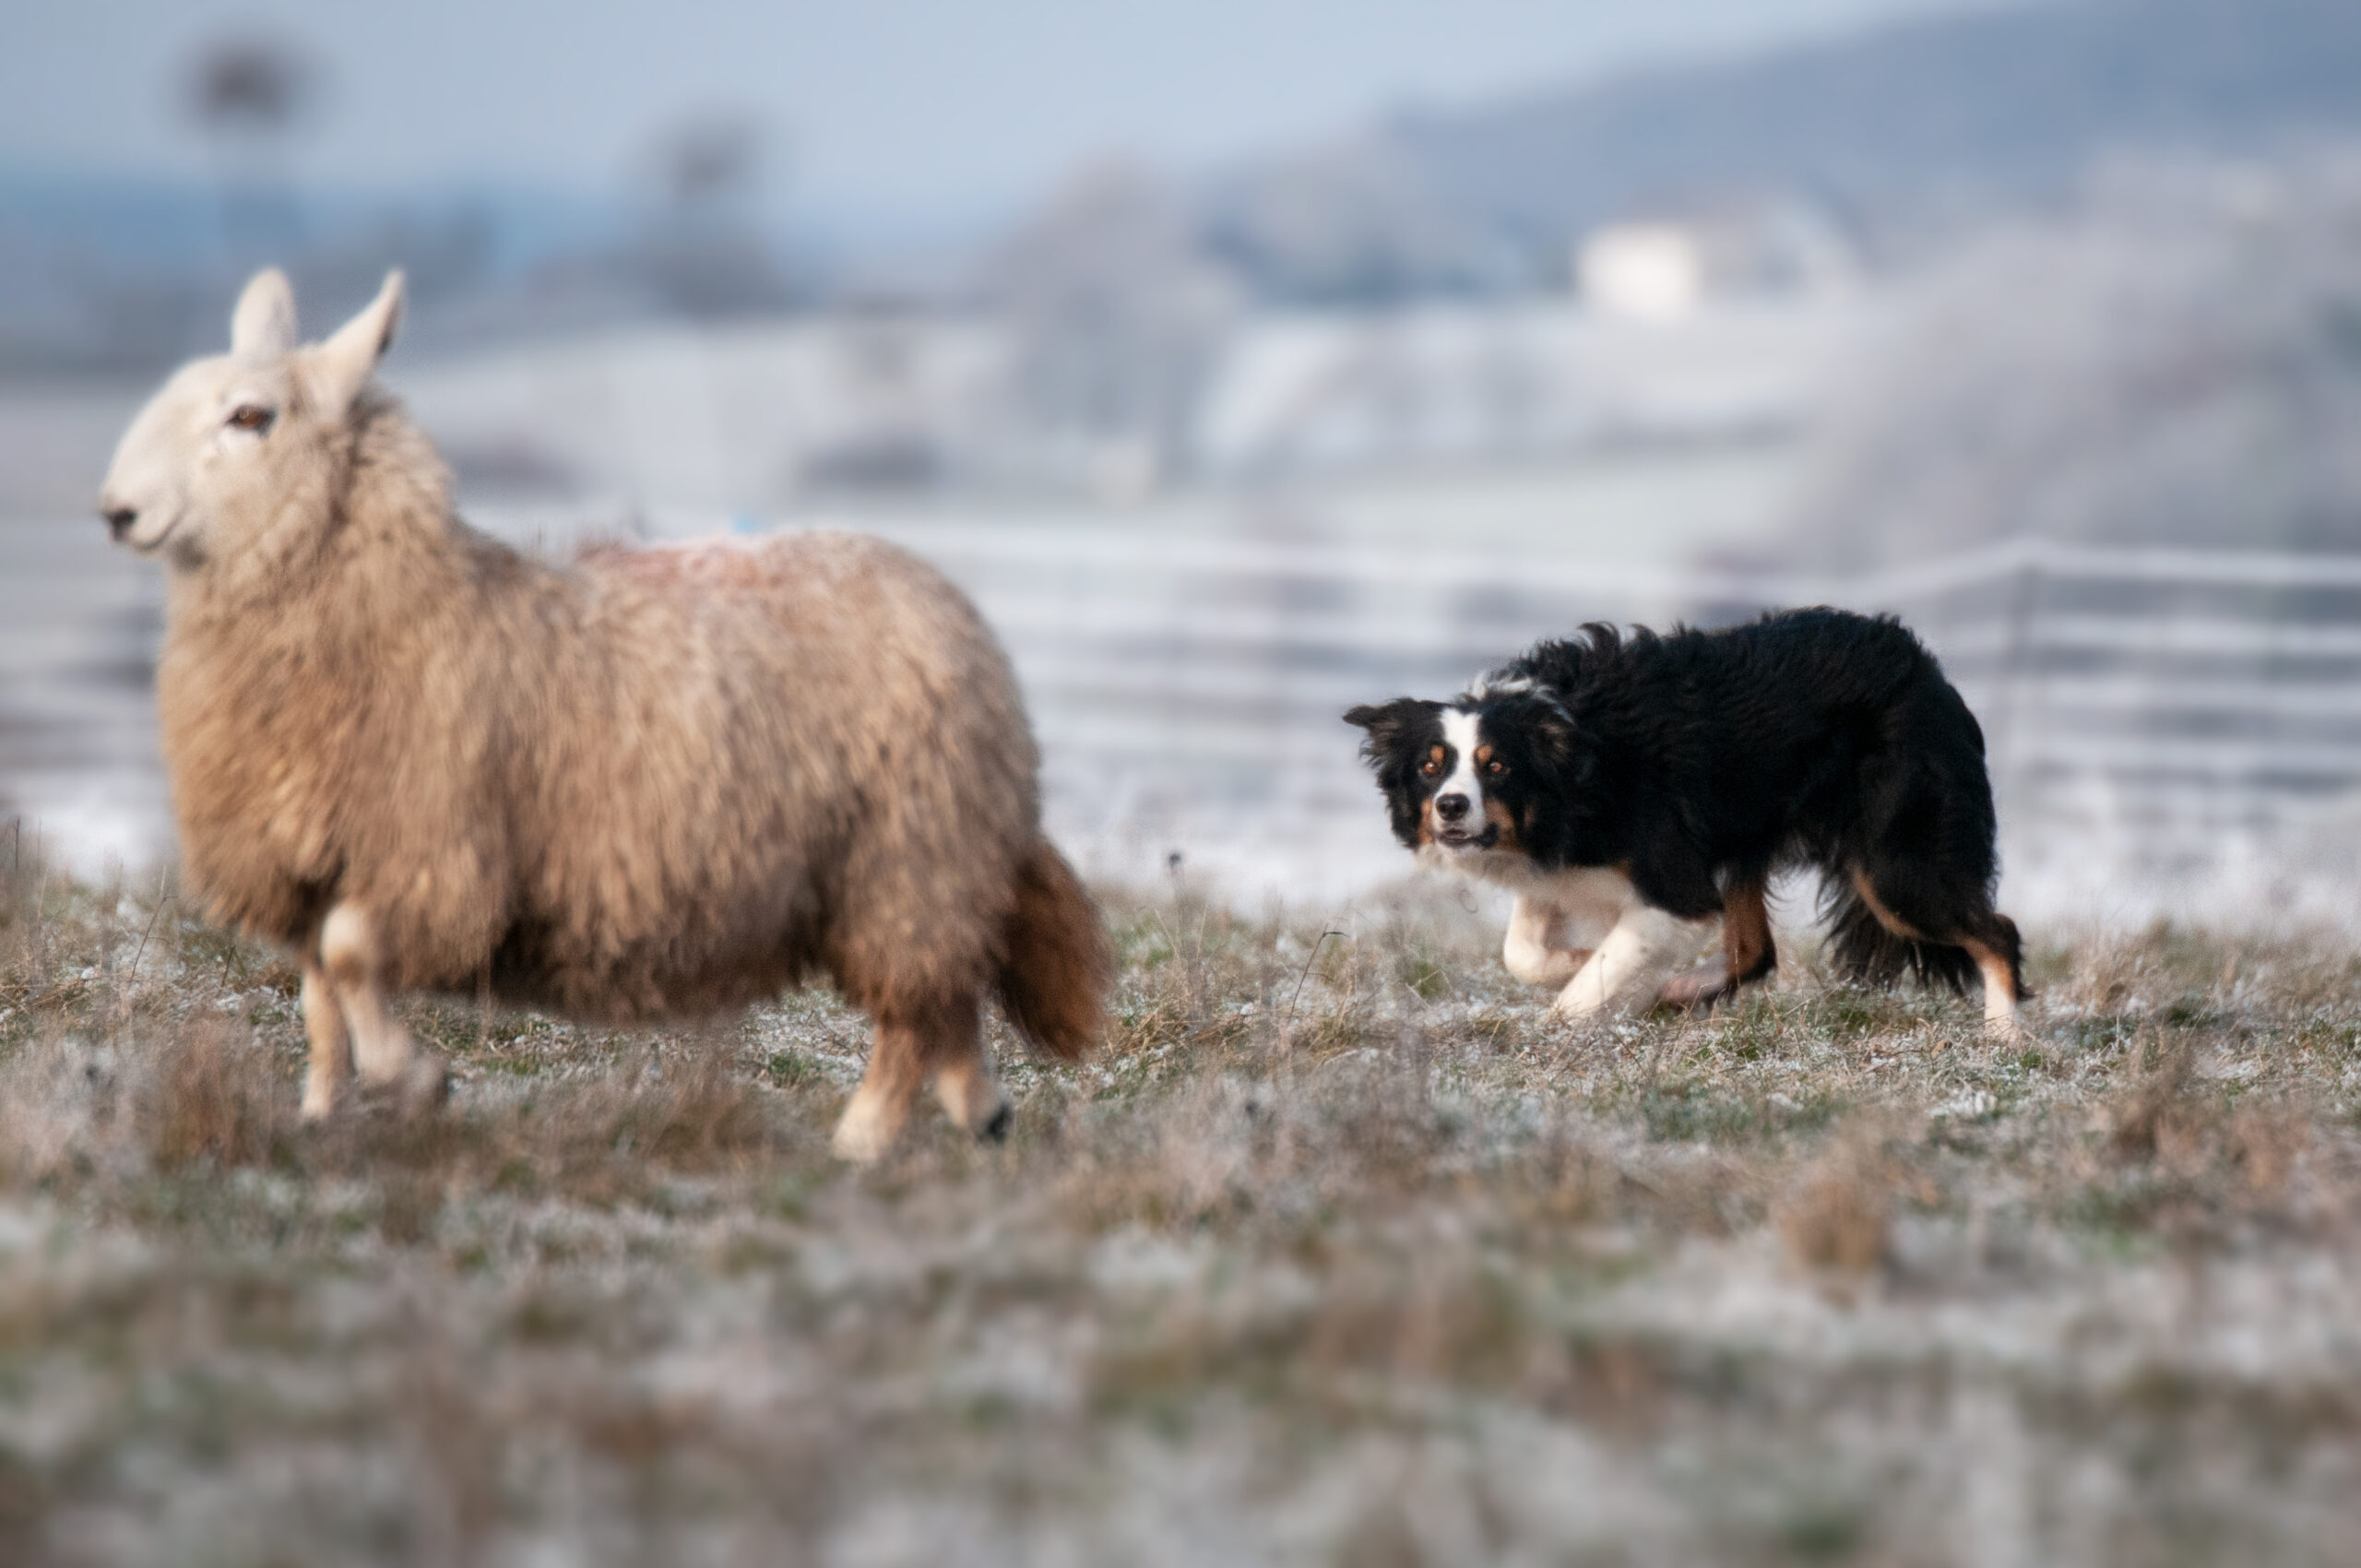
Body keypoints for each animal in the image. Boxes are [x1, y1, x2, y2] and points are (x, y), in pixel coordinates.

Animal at [97, 267, 1111, 1161]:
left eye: (249, 416)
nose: (115, 512)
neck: (403, 603)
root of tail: (953, 606)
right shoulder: (312, 854)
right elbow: (318, 995)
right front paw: (323, 1114)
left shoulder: (432, 855)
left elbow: (347, 961)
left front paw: (416, 1082)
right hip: (920, 864)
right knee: (948, 999)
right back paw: (980, 1110)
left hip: (906, 854)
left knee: (913, 1012)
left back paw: (864, 1141)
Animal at [1345, 607, 2027, 1032]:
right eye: (1431, 767)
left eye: (1497, 767)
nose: (1450, 808)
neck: (1575, 769)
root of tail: (1928, 669)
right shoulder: (1559, 865)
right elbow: (1524, 953)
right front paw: (1595, 966)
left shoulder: (1674, 883)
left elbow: (1598, 974)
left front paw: (1570, 1017)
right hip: (1751, 836)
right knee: (1754, 952)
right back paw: (1678, 991)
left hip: (1893, 860)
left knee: (1997, 933)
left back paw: (2004, 1038)